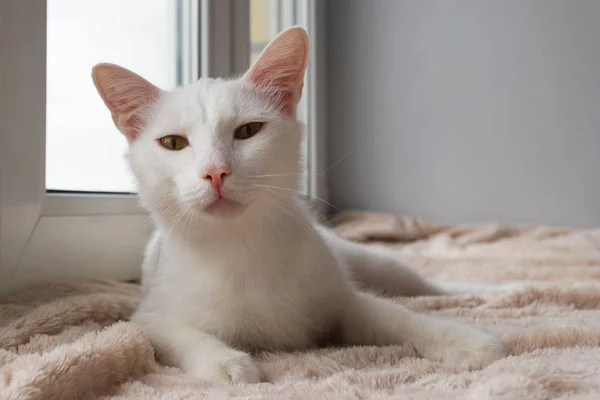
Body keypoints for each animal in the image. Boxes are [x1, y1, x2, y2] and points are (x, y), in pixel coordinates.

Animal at [92, 26, 506, 382]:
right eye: (174, 143)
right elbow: (175, 335)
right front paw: (225, 363)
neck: (241, 245)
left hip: (367, 261)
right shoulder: (149, 316)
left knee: (421, 284)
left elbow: (398, 317)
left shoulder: (343, 303)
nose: (215, 172)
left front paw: (466, 340)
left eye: (247, 131)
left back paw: (492, 290)